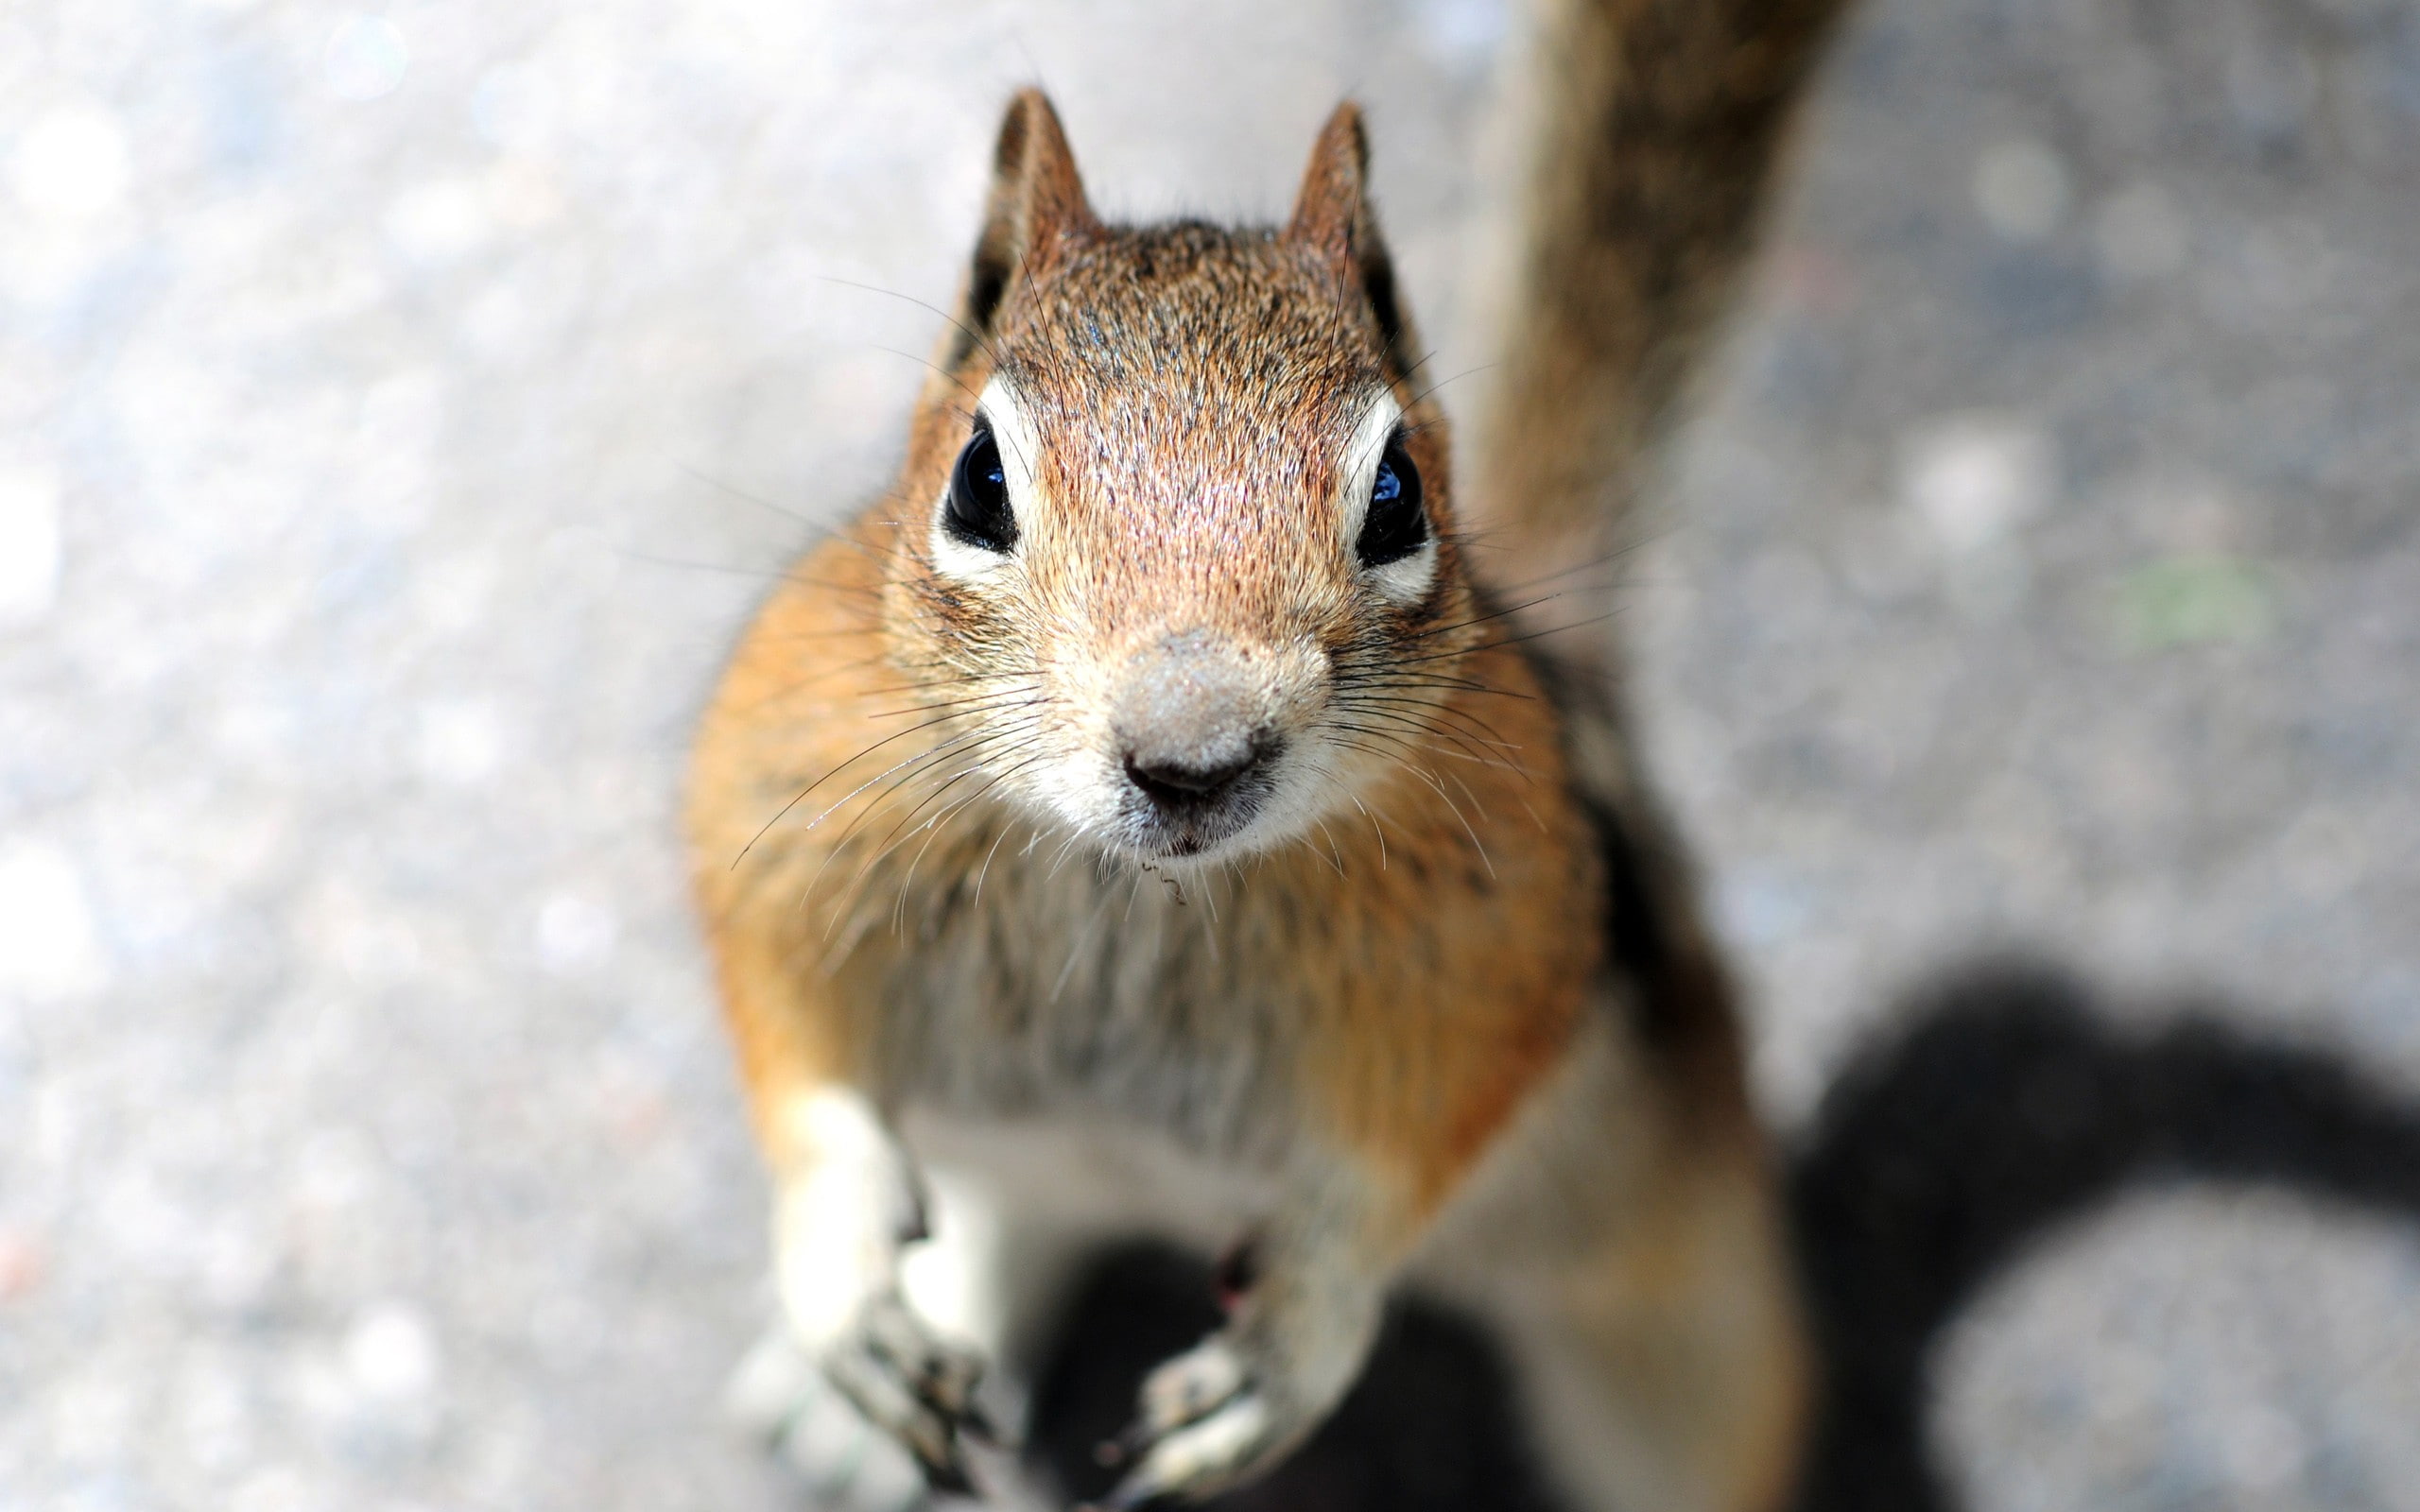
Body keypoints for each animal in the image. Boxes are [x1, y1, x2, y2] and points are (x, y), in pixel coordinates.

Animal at [685, 0, 1853, 1506]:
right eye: (977, 482)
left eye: (1397, 494)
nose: (1192, 756)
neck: (1141, 896)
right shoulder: (777, 811)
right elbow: (803, 1073)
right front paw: (839, 1284)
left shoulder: (1501, 949)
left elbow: (1398, 1167)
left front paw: (1292, 1346)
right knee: (1015, 1212)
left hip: (1679, 1310)